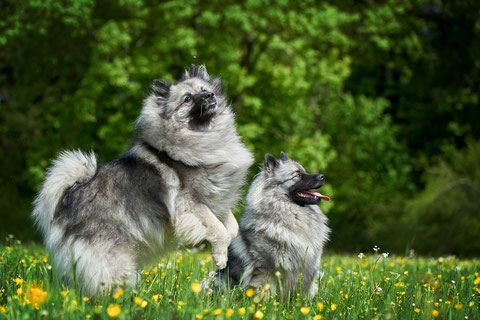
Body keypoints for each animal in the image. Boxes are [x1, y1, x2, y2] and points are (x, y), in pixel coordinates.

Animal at [31, 65, 253, 296]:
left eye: (204, 89)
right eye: (188, 99)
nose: (209, 95)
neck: (205, 138)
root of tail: (70, 194)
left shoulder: (218, 200)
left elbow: (231, 226)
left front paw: (228, 246)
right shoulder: (190, 205)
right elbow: (217, 229)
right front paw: (220, 257)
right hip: (113, 256)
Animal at [218, 152, 330, 298]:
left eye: (305, 171)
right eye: (298, 174)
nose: (322, 176)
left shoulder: (308, 269)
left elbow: (306, 292)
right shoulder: (267, 271)